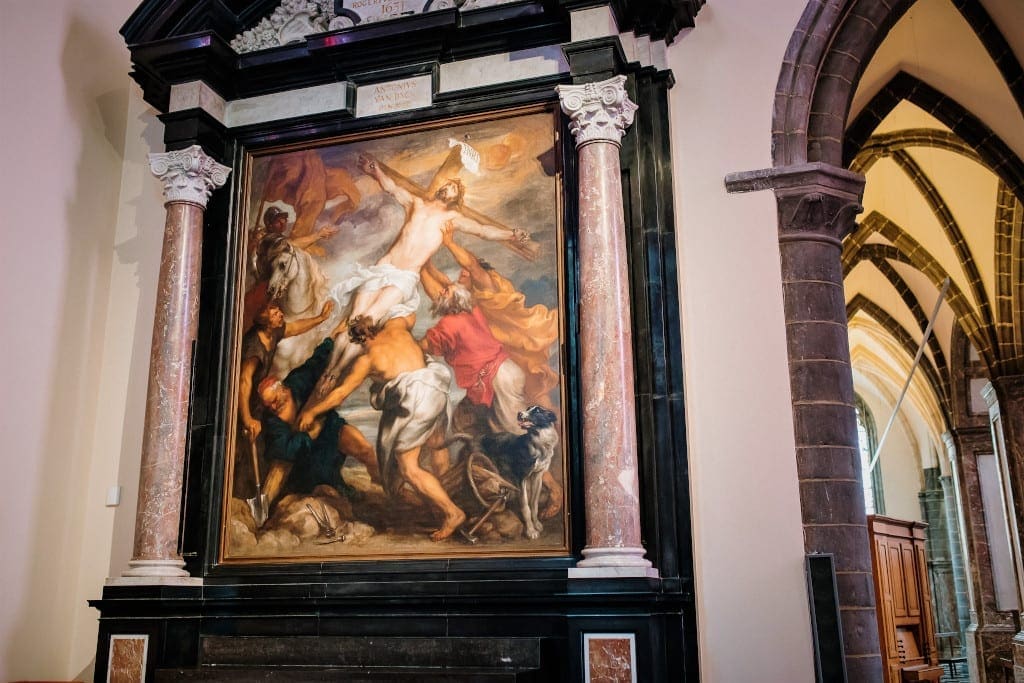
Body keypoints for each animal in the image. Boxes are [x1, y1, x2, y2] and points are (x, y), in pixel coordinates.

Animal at [479, 405, 561, 540]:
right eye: (527, 408)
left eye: (537, 410)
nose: (519, 413)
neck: (538, 443)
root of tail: (484, 437)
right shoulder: (521, 479)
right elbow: (526, 507)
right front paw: (531, 531)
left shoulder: (537, 477)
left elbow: (534, 504)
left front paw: (536, 524)